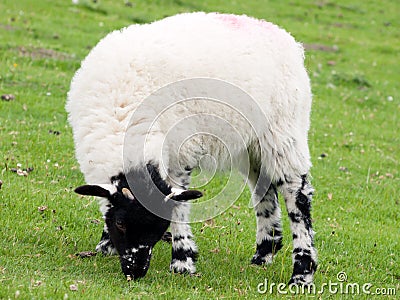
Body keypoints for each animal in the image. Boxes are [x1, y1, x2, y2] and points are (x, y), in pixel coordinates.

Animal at [66, 11, 318, 284]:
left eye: (159, 223)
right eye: (120, 223)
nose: (135, 271)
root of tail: (283, 36)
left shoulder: (180, 149)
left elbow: (179, 205)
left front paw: (182, 260)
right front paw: (106, 244)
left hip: (283, 131)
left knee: (297, 194)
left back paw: (302, 272)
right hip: (251, 144)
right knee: (264, 188)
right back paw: (264, 253)